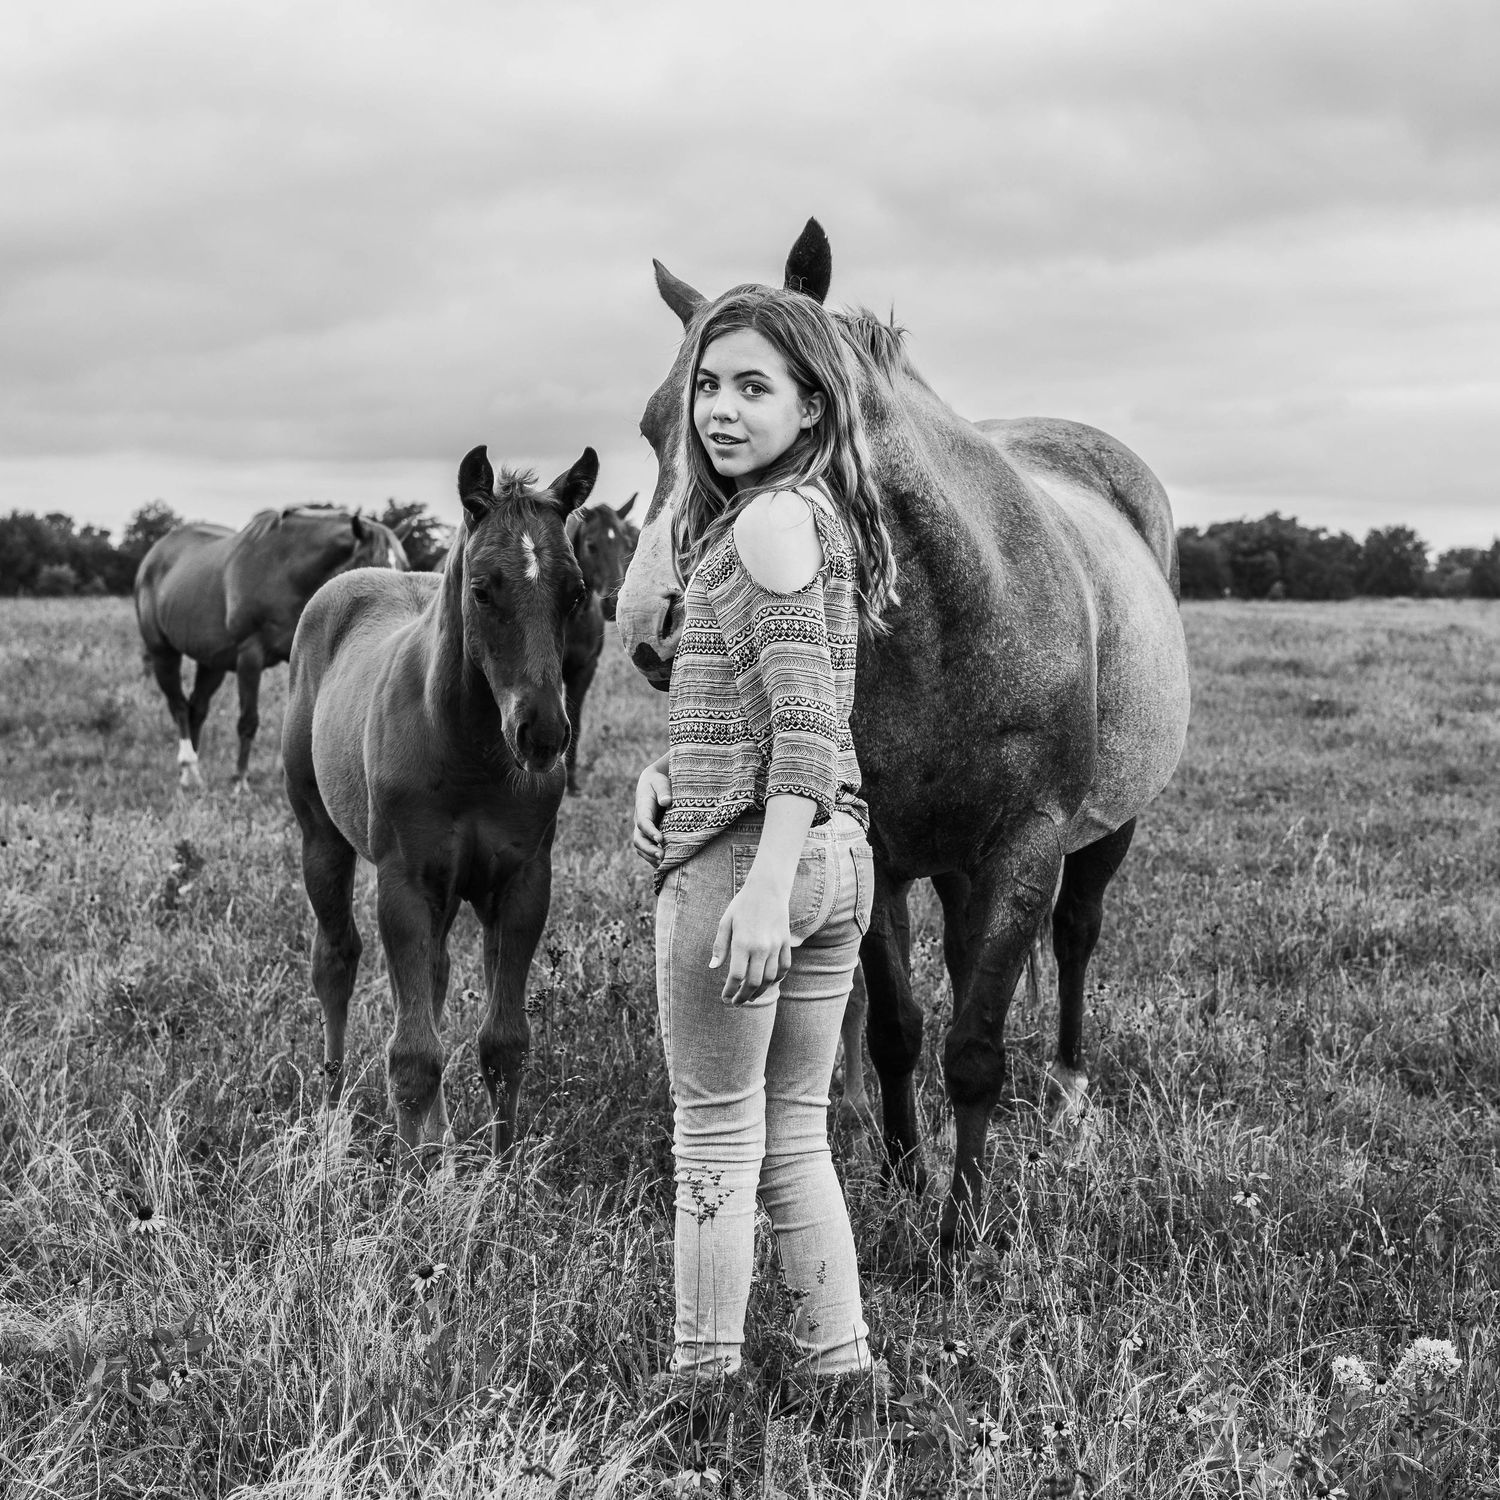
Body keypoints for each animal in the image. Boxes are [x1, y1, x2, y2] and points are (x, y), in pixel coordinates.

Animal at [134, 507, 411, 788]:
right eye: (368, 562)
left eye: (404, 566)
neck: (284, 572)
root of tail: (153, 557)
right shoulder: (250, 656)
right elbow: (248, 720)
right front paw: (241, 780)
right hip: (163, 653)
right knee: (178, 706)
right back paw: (188, 766)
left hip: (212, 663)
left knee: (197, 708)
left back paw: (193, 775)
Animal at [282, 445, 598, 1154]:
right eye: (481, 588)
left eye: (575, 592)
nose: (543, 734)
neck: (472, 755)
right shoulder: (404, 884)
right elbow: (413, 1056)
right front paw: (408, 1175)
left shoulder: (521, 884)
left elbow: (503, 1044)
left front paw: (501, 1171)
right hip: (322, 839)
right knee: (335, 962)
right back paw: (333, 1118)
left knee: (435, 974)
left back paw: (440, 1143)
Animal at [562, 495, 637, 793]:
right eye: (591, 545)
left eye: (626, 545)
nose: (613, 603)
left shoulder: (584, 670)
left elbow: (574, 720)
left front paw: (571, 782)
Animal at [614, 220, 1191, 1250]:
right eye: (651, 426)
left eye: (745, 395)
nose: (651, 626)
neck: (953, 615)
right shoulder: (875, 847)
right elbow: (897, 1028)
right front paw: (902, 1177)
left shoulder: (1027, 845)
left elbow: (974, 1050)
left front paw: (961, 1234)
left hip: (1103, 832)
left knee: (1076, 939)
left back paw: (1069, 1094)